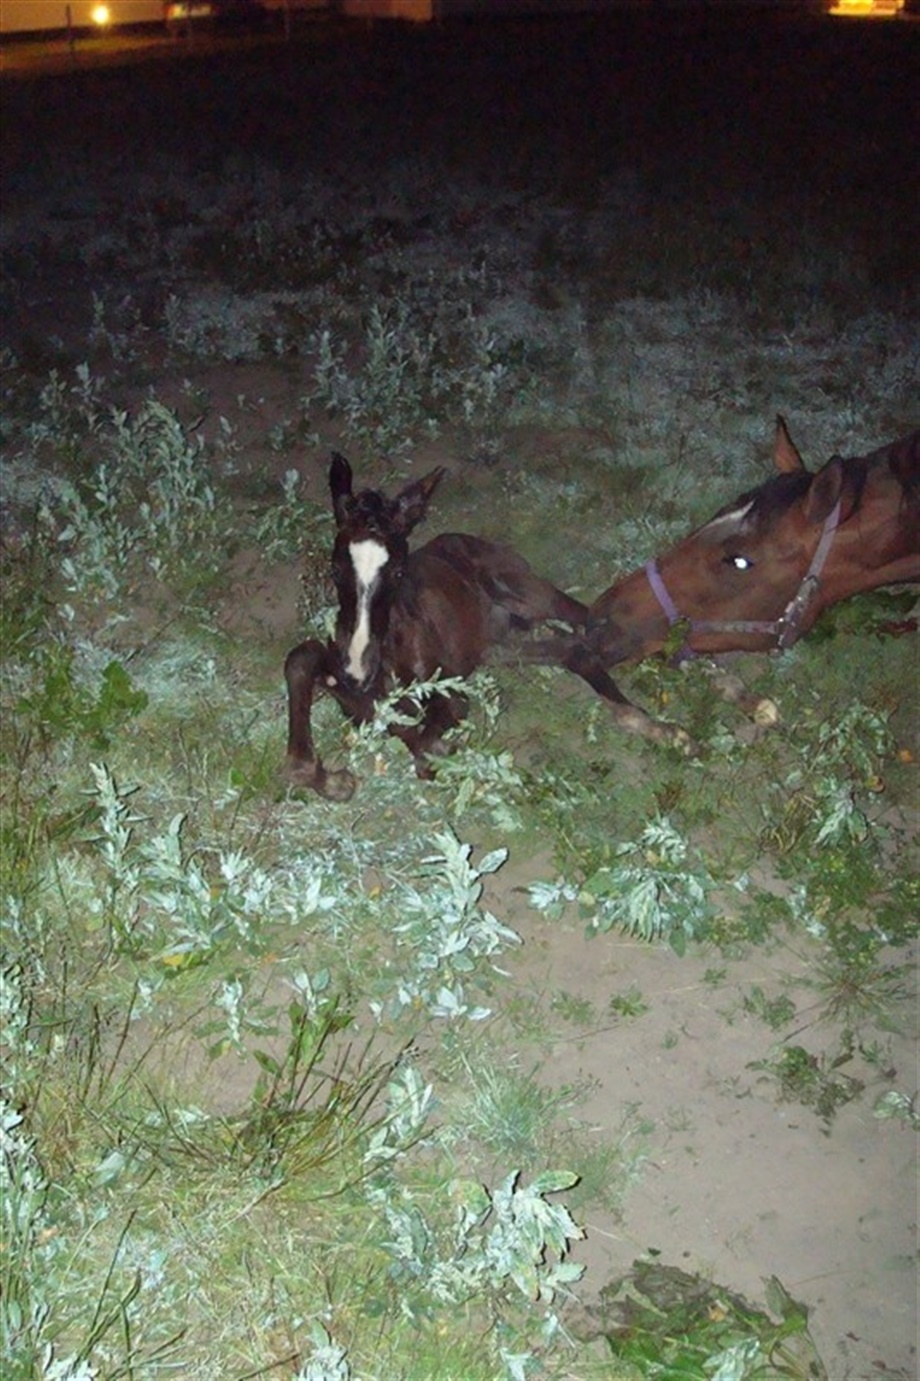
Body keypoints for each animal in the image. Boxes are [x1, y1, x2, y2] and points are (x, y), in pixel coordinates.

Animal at [284, 453, 675, 800]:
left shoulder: (449, 691)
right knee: (572, 649)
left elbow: (429, 745)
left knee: (589, 618)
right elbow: (305, 659)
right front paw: (332, 781)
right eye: (335, 569)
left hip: (522, 589)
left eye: (397, 572)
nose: (357, 671)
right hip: (492, 645)